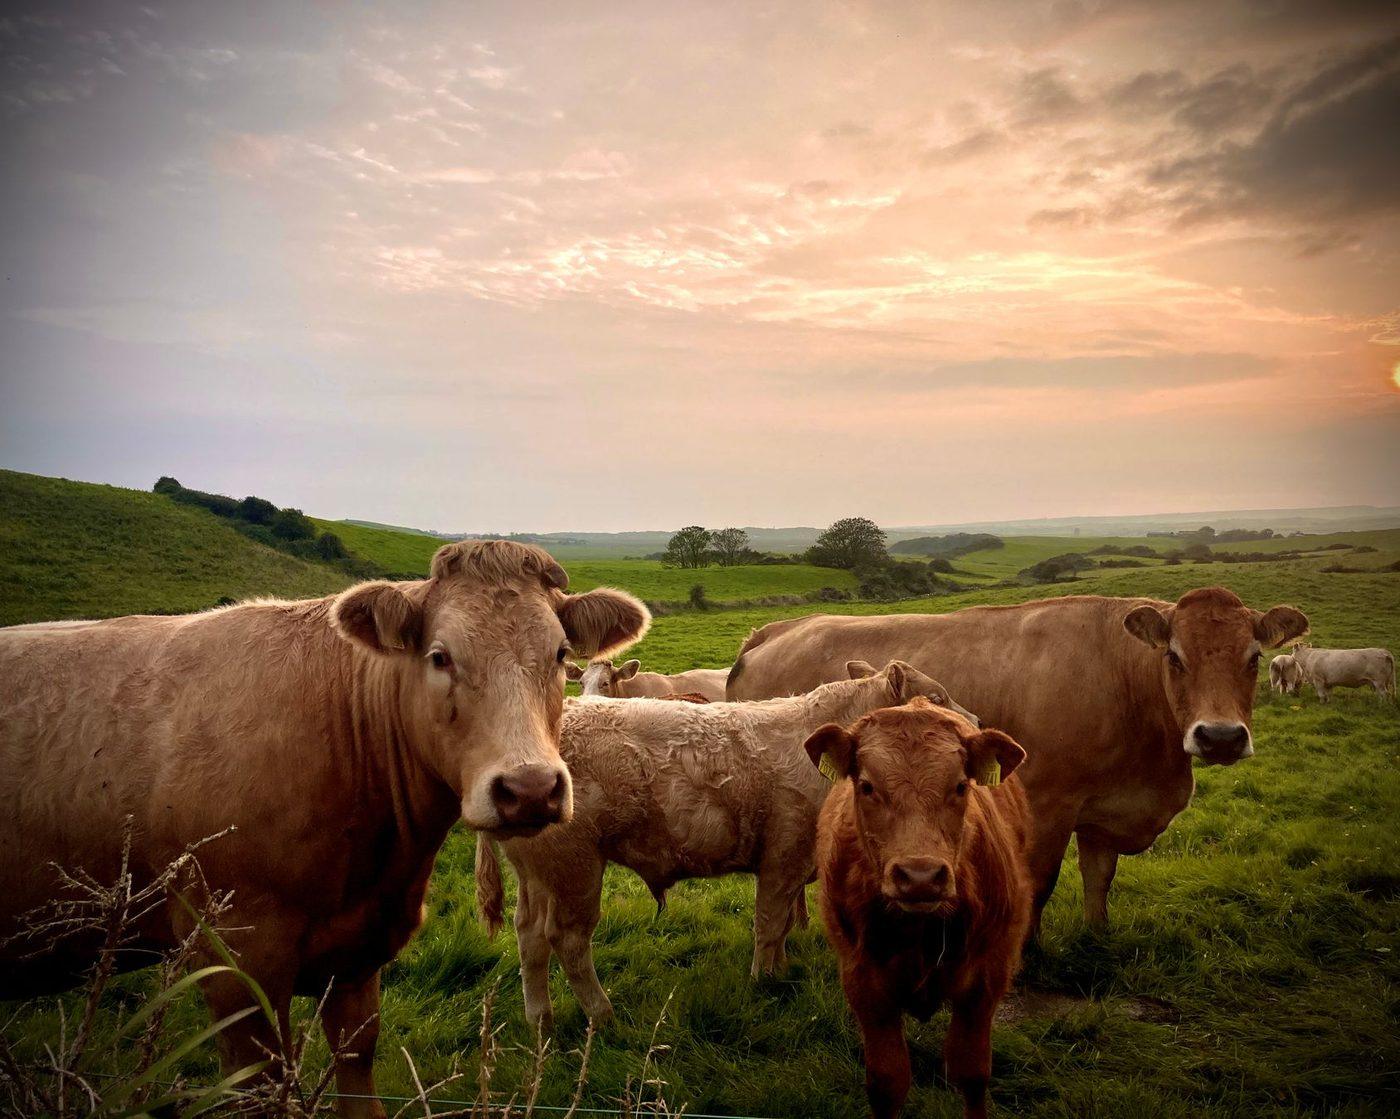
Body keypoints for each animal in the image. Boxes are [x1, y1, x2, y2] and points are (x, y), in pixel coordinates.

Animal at [0, 541, 650, 1119]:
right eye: (440, 656)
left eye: (560, 653)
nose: (531, 789)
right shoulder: (235, 967)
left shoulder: (358, 959)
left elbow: (357, 1074)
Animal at [474, 662, 975, 1032]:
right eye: (936, 699)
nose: (977, 723)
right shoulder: (785, 854)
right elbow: (769, 924)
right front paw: (762, 981)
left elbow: (784, 925)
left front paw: (780, 970)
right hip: (574, 866)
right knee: (568, 940)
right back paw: (604, 1014)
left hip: (538, 872)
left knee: (529, 937)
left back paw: (540, 1020)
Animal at [726, 587, 1308, 930]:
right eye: (1174, 656)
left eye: (1254, 657)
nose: (1220, 737)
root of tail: (775, 630)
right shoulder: (1048, 804)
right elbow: (1041, 885)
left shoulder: (1104, 811)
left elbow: (1100, 880)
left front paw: (1096, 939)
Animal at [808, 699, 1032, 1119]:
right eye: (867, 786)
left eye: (960, 786)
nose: (920, 876)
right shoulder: (865, 983)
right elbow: (887, 1080)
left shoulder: (987, 978)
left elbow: (972, 1073)